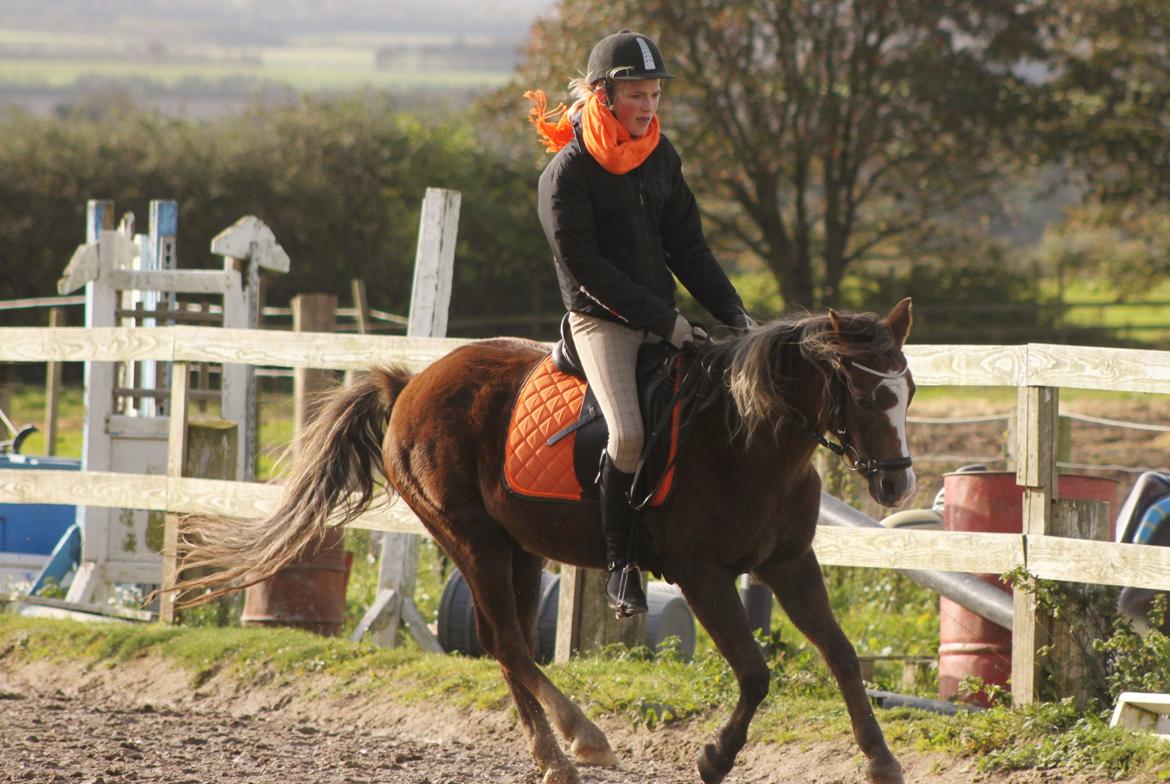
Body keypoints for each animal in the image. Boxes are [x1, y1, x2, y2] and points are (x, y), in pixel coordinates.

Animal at [169, 298, 916, 784]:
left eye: (907, 389)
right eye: (863, 393)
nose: (897, 484)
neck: (749, 437)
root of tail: (411, 383)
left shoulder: (791, 563)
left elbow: (842, 655)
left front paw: (881, 759)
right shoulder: (701, 574)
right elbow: (757, 673)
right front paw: (715, 757)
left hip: (519, 549)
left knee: (511, 644)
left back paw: (552, 751)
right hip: (471, 539)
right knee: (506, 642)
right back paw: (577, 743)